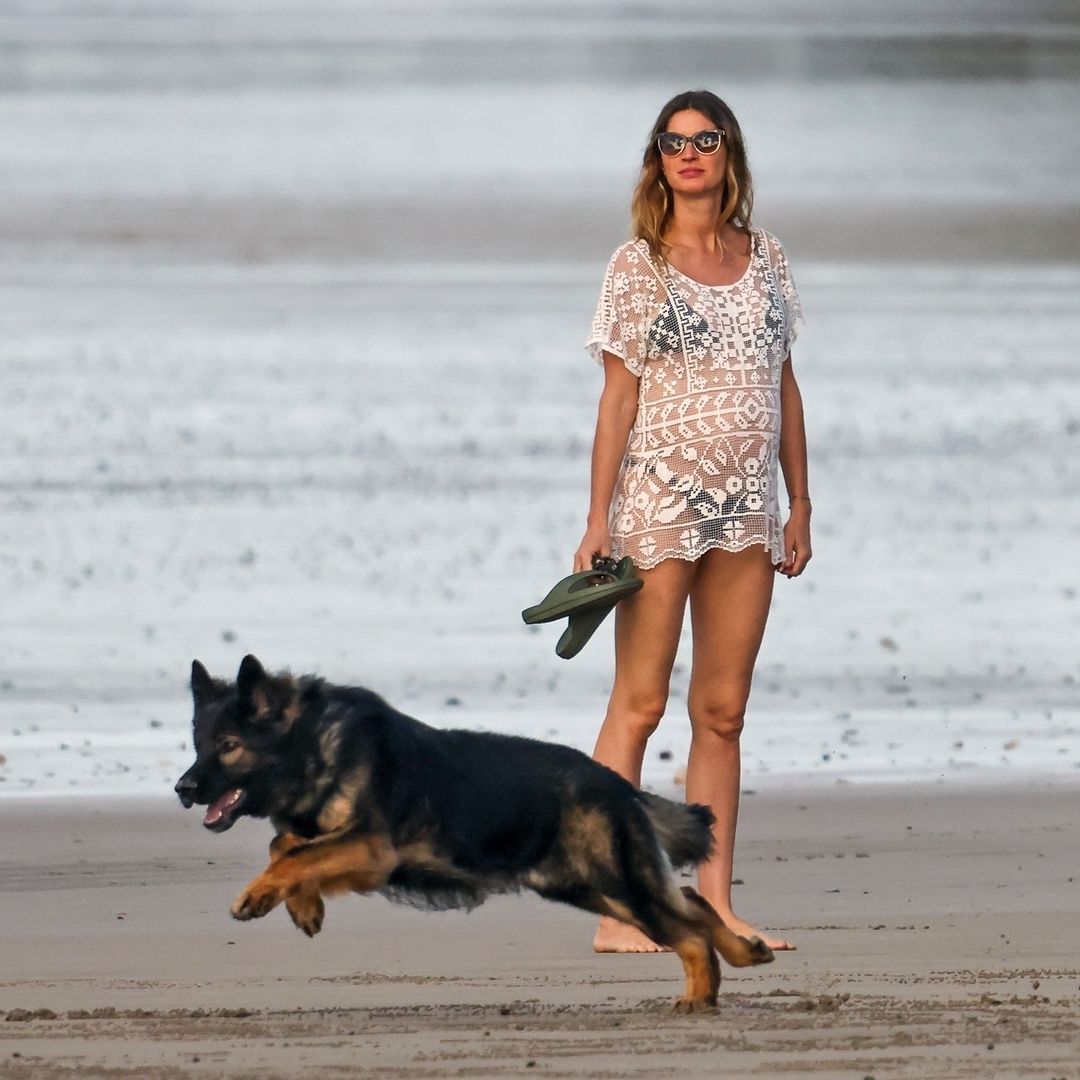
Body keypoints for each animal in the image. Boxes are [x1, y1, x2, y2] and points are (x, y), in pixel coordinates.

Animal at [172, 656, 773, 1010]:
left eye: (229, 746)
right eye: (199, 744)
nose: (182, 787)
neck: (315, 742)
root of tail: (617, 783)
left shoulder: (370, 848)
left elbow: (292, 855)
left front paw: (260, 895)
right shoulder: (348, 846)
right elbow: (284, 847)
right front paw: (302, 905)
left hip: (614, 884)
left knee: (688, 930)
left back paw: (701, 998)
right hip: (587, 887)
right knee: (694, 900)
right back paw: (743, 957)